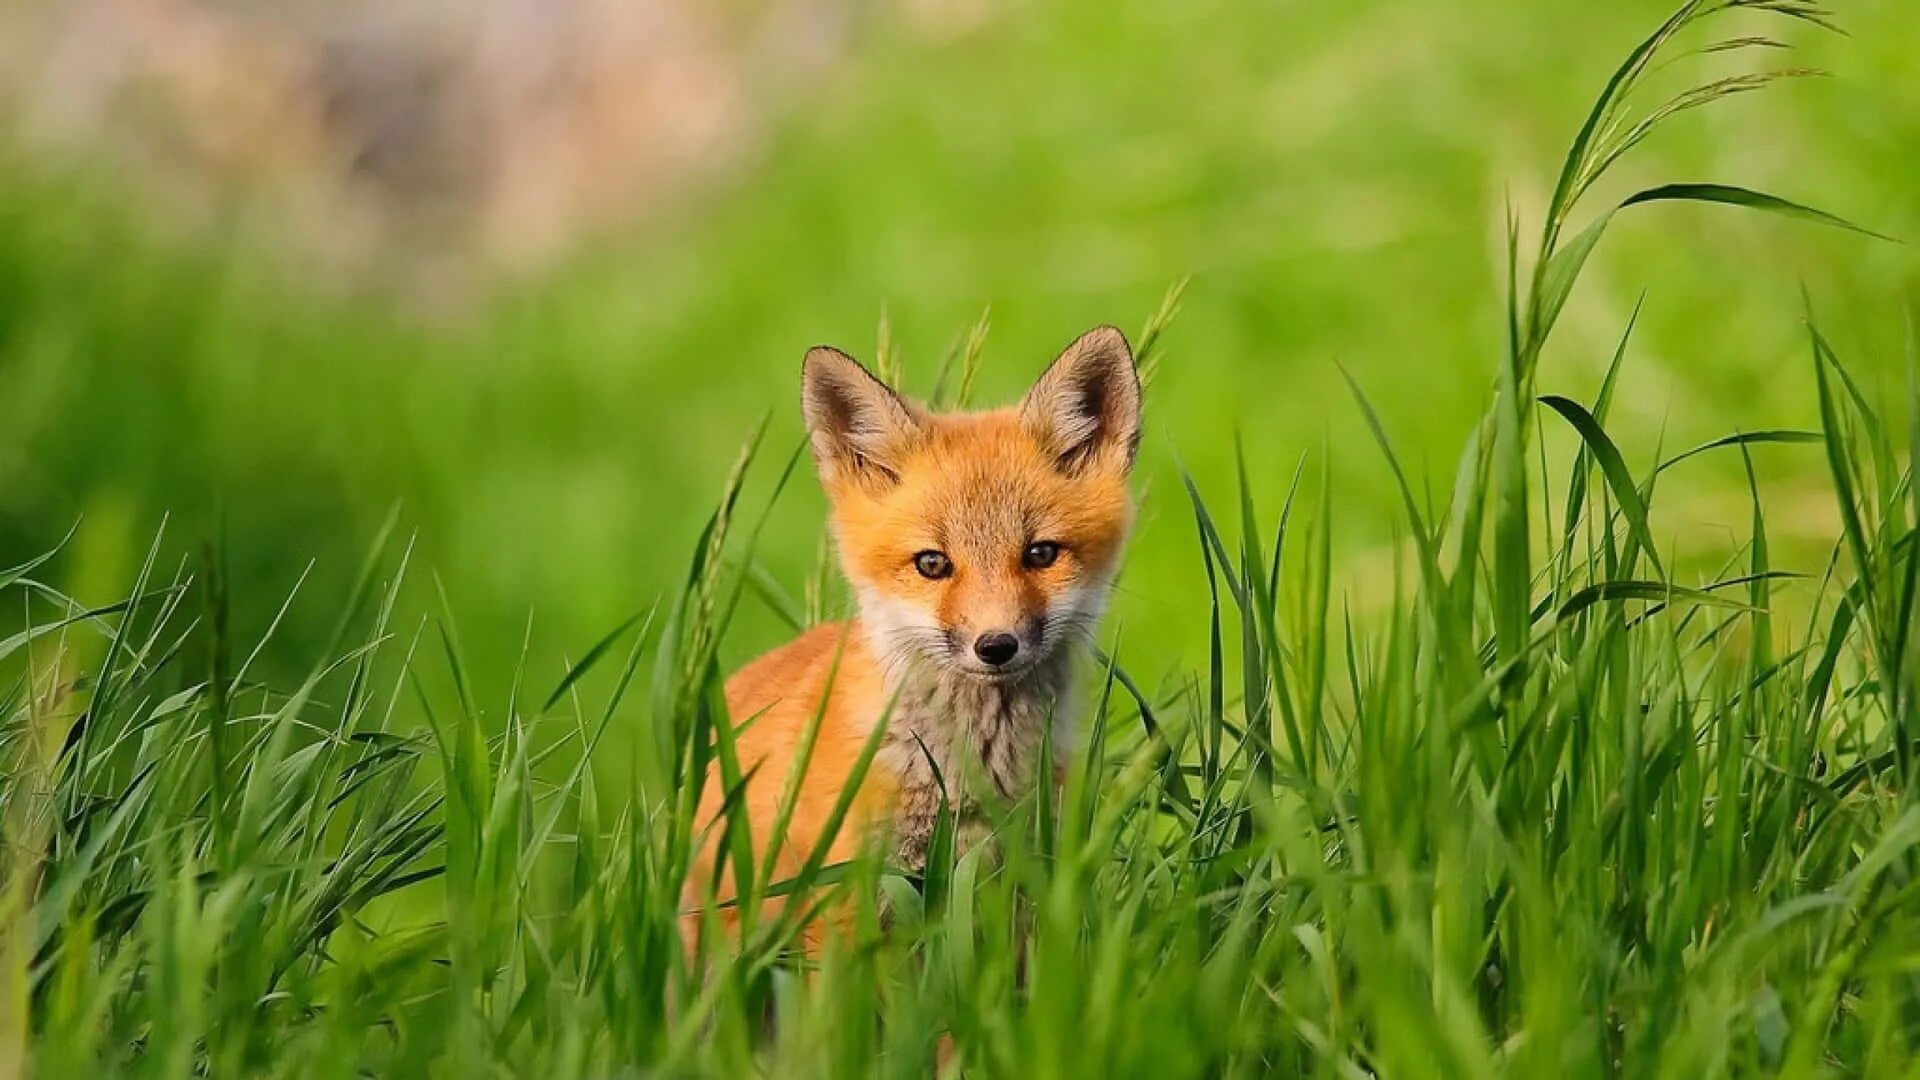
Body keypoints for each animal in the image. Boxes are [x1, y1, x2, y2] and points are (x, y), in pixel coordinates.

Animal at [683, 322, 1136, 945]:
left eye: (1041, 554)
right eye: (932, 564)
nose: (996, 646)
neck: (970, 776)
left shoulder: (1022, 886)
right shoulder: (844, 902)